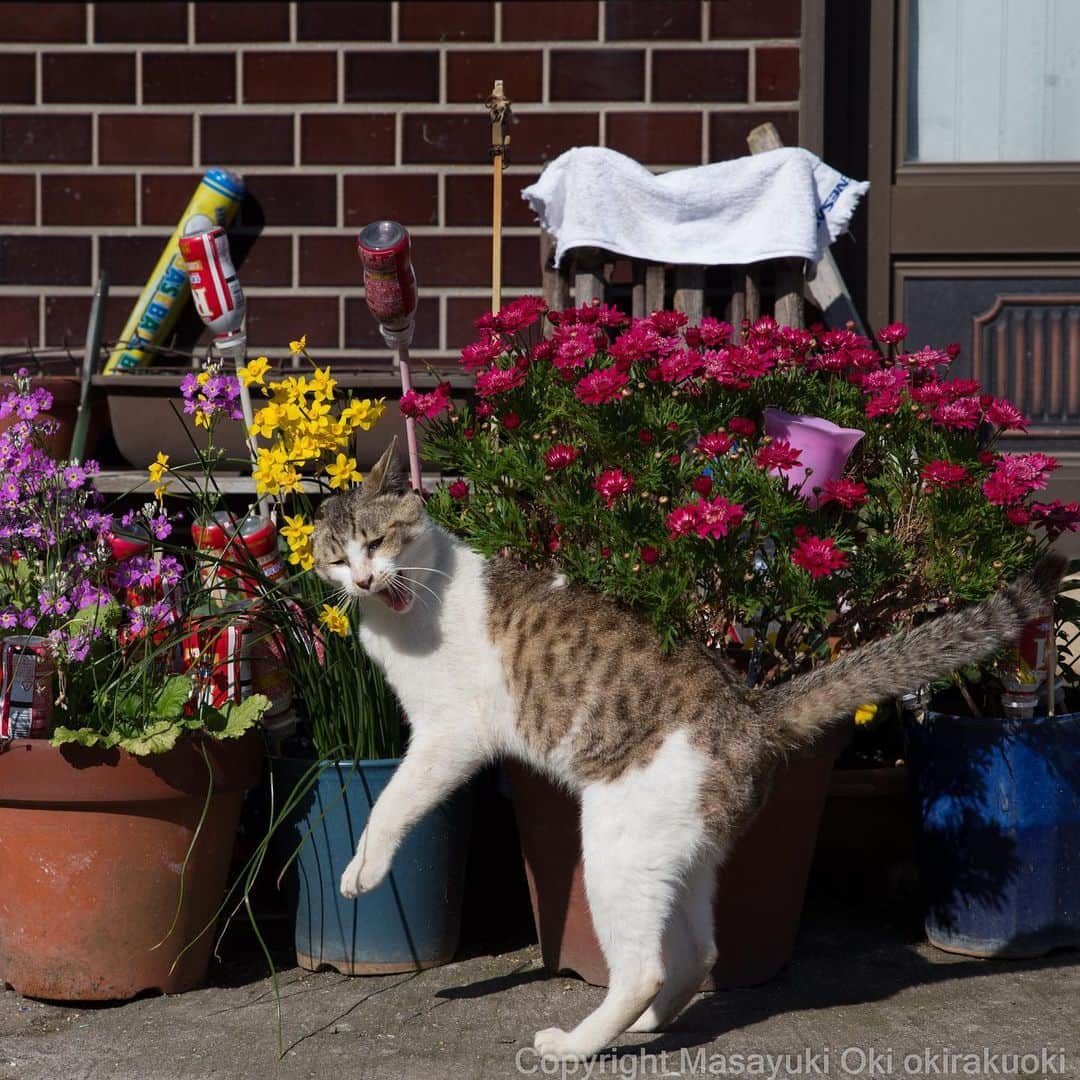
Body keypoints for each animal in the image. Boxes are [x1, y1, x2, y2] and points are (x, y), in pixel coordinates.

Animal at [313, 440, 1062, 1062]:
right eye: (336, 557)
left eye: (376, 540)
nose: (363, 581)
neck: (407, 605)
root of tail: (750, 711)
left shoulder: (449, 735)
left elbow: (394, 802)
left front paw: (360, 871)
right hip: (680, 855)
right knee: (699, 952)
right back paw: (650, 1025)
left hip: (617, 849)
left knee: (643, 968)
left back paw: (577, 1045)